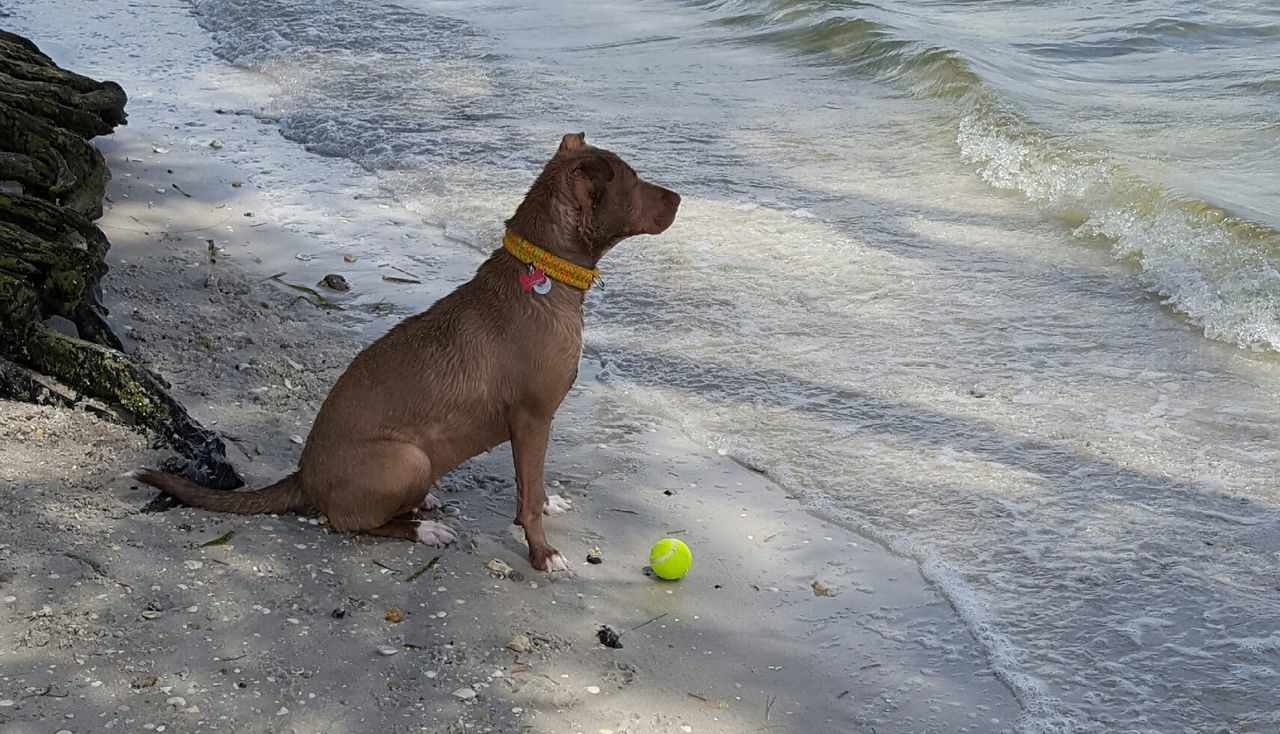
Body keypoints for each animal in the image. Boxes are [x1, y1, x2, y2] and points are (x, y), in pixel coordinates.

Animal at [136, 135, 680, 571]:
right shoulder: (531, 418)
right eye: (635, 181)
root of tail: (304, 477)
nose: (680, 197)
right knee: (350, 523)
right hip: (408, 459)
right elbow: (526, 497)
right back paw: (423, 528)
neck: (543, 274)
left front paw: (546, 507)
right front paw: (542, 553)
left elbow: (533, 485)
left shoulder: (533, 427)